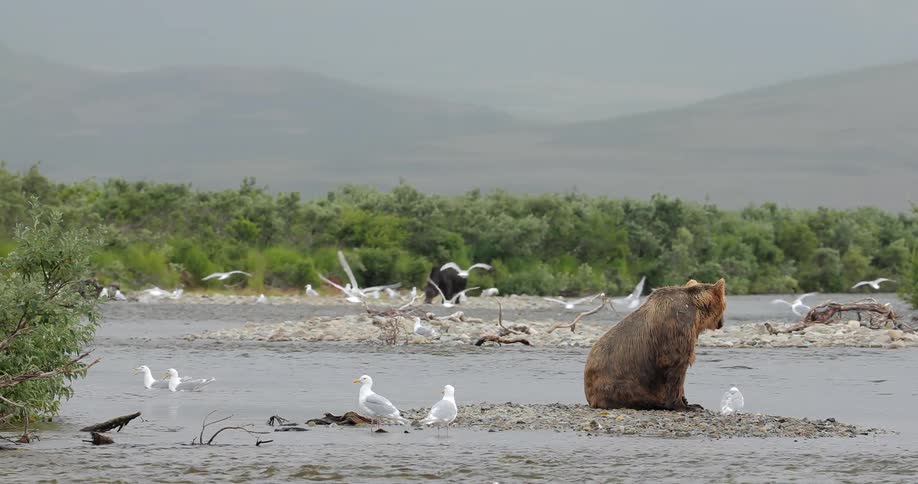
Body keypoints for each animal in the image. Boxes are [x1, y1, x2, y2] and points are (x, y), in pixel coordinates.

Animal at [583, 278, 726, 411]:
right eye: (725, 305)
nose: (722, 323)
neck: (696, 314)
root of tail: (590, 398)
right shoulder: (677, 329)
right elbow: (676, 368)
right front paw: (685, 405)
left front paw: (687, 401)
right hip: (621, 382)